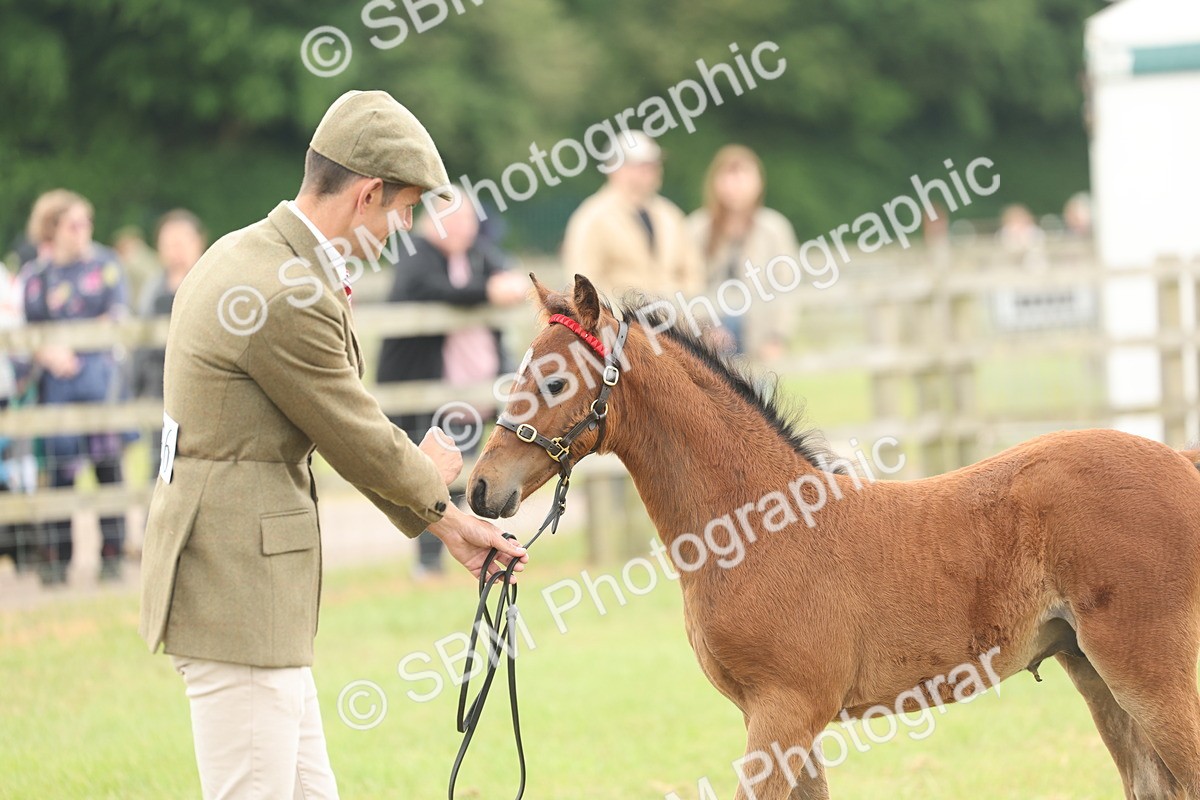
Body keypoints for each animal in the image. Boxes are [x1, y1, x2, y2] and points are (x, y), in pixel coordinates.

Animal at [467, 274, 1200, 800]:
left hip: (1147, 669)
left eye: (554, 381)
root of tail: (1180, 461)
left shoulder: (786, 710)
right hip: (1092, 669)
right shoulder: (781, 717)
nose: (479, 489)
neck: (755, 525)